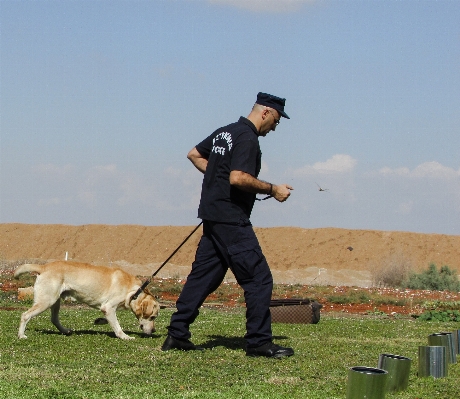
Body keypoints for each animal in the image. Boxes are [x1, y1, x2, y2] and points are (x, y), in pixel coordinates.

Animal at [14, 262, 160, 340]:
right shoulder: (108, 307)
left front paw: (100, 321)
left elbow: (111, 320)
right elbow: (117, 326)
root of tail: (43, 267)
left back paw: (65, 331)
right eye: (153, 317)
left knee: (54, 319)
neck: (135, 291)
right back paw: (21, 335)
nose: (154, 331)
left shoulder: (107, 309)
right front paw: (125, 336)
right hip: (46, 301)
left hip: (55, 301)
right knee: (25, 315)